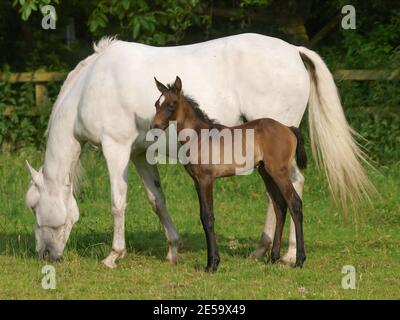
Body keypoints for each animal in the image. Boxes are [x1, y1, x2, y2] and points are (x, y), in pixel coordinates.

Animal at [152, 75, 308, 272]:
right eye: (156, 104)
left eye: (171, 104)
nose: (154, 126)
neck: (198, 136)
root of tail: (288, 128)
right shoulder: (196, 181)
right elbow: (203, 216)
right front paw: (212, 262)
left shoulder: (206, 180)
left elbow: (208, 217)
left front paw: (212, 264)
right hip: (266, 172)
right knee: (280, 206)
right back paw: (273, 257)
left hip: (279, 172)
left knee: (294, 203)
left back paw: (299, 260)